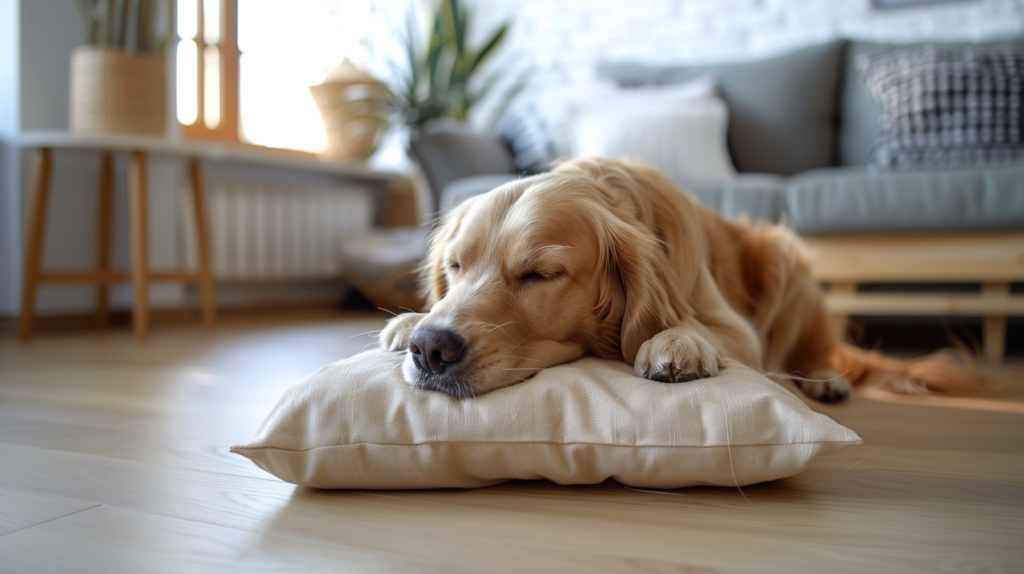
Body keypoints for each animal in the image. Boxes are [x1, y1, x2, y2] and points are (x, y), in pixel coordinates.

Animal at [380, 155, 978, 399]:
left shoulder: (741, 331)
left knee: (814, 352)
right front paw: (407, 321)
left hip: (784, 262)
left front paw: (679, 340)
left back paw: (825, 379)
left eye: (539, 273)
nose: (430, 348)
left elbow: (702, 327)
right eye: (455, 267)